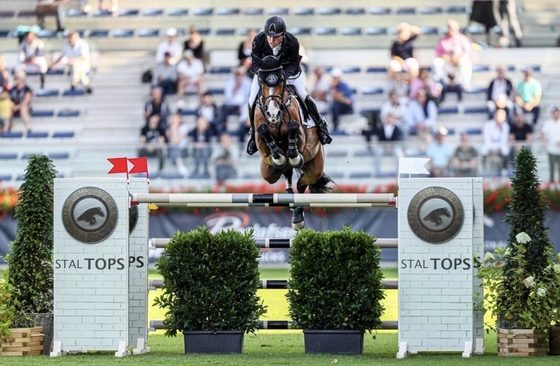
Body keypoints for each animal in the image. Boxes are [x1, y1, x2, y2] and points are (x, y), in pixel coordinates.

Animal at [253, 55, 332, 229]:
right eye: (262, 81)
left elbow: (293, 128)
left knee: (302, 183)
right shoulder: (261, 143)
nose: (273, 113)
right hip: (268, 172)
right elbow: (263, 130)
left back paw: (297, 217)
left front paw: (293, 156)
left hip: (315, 167)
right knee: (286, 173)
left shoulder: (301, 136)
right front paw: (279, 155)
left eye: (281, 80)